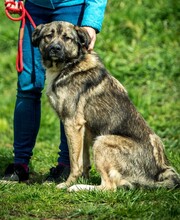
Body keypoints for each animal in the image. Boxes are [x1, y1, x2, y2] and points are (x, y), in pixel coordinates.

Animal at [31, 21, 179, 192]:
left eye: (67, 38)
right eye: (49, 36)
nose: (55, 48)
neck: (70, 65)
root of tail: (161, 170)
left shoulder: (72, 123)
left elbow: (75, 162)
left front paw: (68, 183)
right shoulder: (84, 129)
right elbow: (84, 161)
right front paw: (83, 178)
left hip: (101, 141)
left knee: (109, 187)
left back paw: (78, 188)